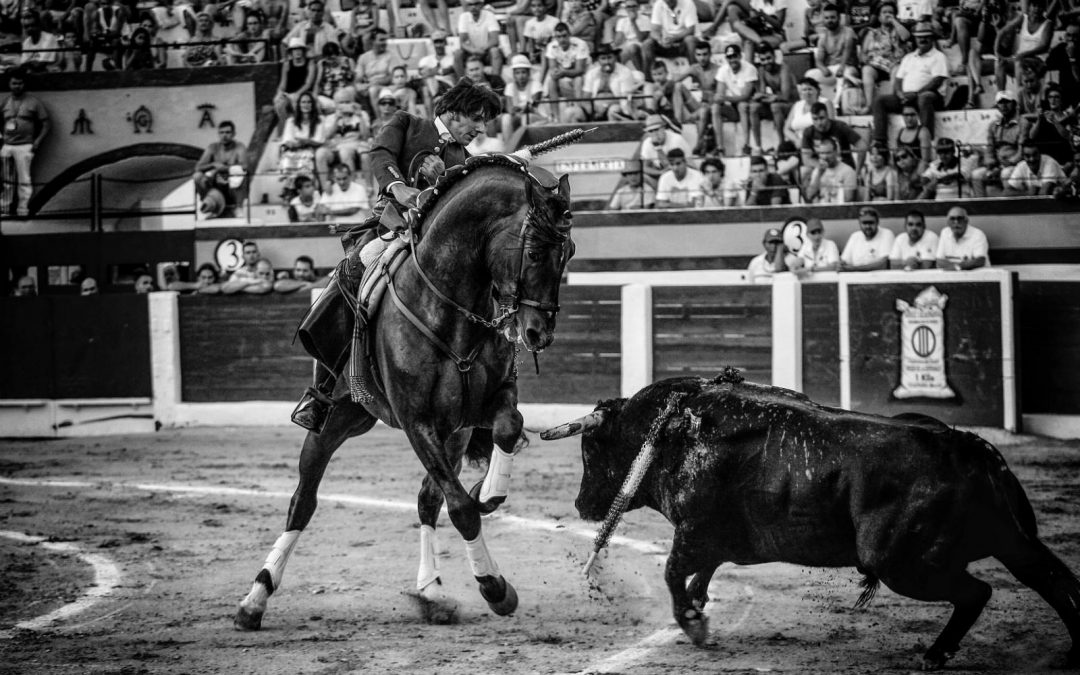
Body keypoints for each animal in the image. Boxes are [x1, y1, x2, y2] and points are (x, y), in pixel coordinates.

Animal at [234, 156, 574, 626]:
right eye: (536, 252)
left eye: (570, 252)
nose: (538, 333)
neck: (450, 306)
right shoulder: (417, 422)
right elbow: (462, 510)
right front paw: (494, 586)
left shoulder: (481, 408)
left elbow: (506, 432)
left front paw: (487, 493)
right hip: (337, 419)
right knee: (303, 500)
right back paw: (255, 598)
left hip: (444, 433)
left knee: (427, 499)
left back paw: (431, 591)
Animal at [544, 373, 1080, 669]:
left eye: (591, 450)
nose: (580, 505)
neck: (670, 428)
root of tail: (969, 447)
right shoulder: (715, 538)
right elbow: (700, 575)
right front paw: (698, 608)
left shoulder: (694, 531)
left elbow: (674, 573)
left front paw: (694, 625)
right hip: (1012, 541)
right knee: (1056, 581)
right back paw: (1073, 648)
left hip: (901, 564)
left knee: (979, 591)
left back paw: (935, 654)